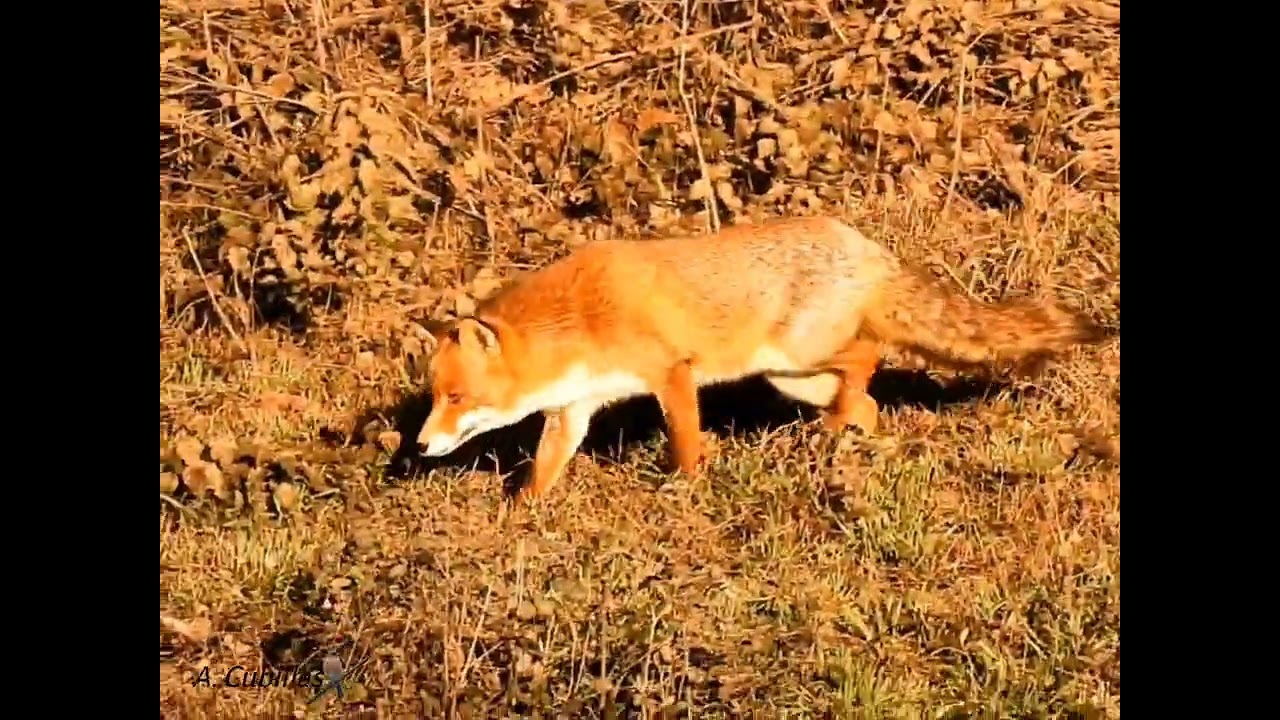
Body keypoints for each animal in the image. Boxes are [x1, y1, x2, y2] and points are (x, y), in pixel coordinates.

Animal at [414, 215, 1106, 502]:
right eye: (437, 397)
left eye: (456, 398)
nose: (419, 445)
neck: (580, 321)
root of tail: (866, 245)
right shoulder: (573, 410)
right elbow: (540, 476)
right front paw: (519, 522)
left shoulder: (672, 373)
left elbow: (685, 443)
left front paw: (686, 488)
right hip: (790, 377)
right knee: (869, 399)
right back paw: (853, 442)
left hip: (800, 353)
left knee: (869, 356)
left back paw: (838, 431)